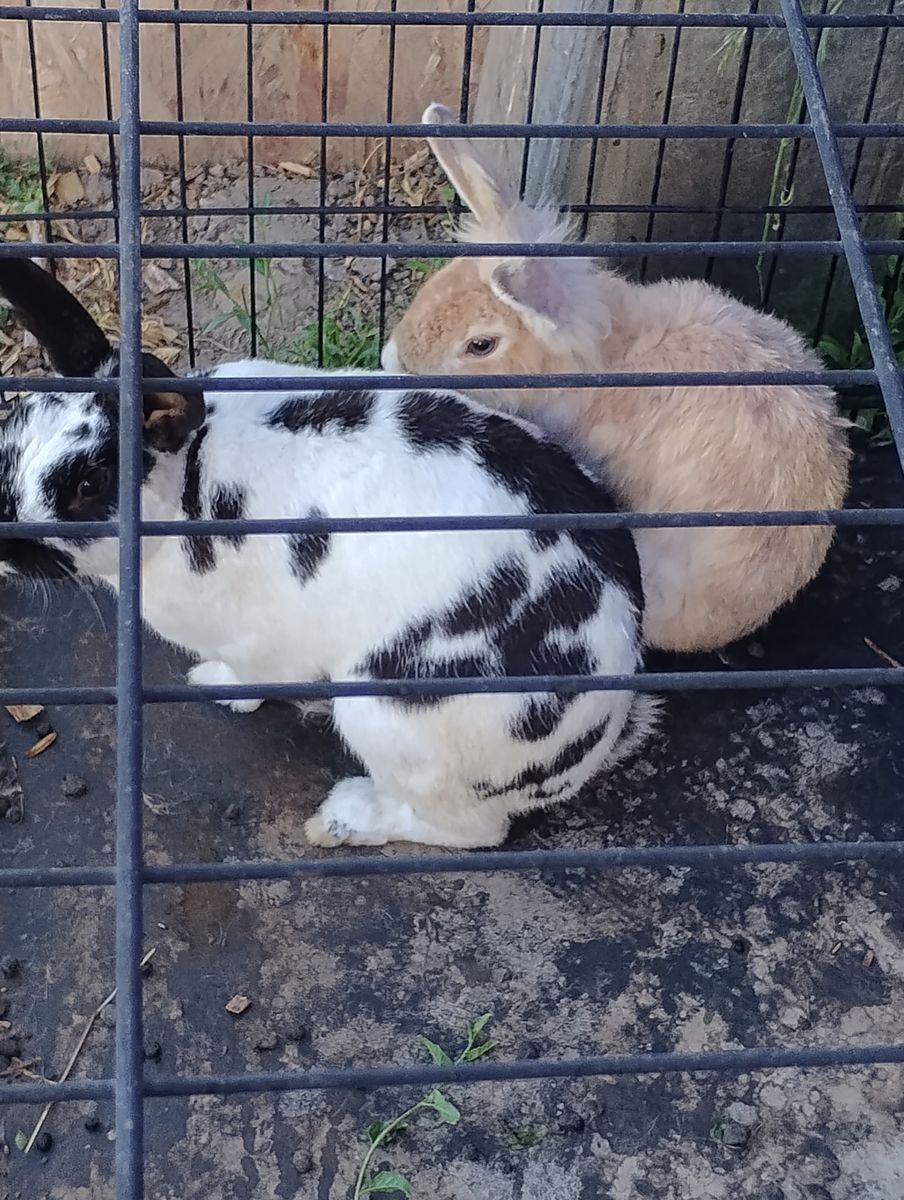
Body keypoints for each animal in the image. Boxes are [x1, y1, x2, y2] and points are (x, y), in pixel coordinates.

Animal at [0, 255, 656, 849]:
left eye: (89, 484)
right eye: (13, 426)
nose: (6, 547)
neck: (191, 475)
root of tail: (602, 728)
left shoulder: (258, 642)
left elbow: (250, 679)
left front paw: (211, 683)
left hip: (390, 719)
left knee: (471, 831)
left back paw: (344, 818)